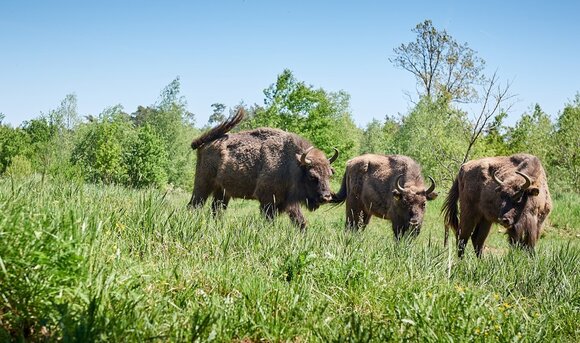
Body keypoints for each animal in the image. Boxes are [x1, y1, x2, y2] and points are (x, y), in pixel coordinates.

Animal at [188, 108, 338, 231]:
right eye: (312, 176)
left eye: (329, 175)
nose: (326, 197)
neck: (293, 163)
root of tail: (204, 144)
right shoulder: (268, 200)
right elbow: (272, 220)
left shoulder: (286, 202)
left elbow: (299, 221)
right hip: (203, 184)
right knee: (195, 205)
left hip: (222, 192)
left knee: (216, 210)